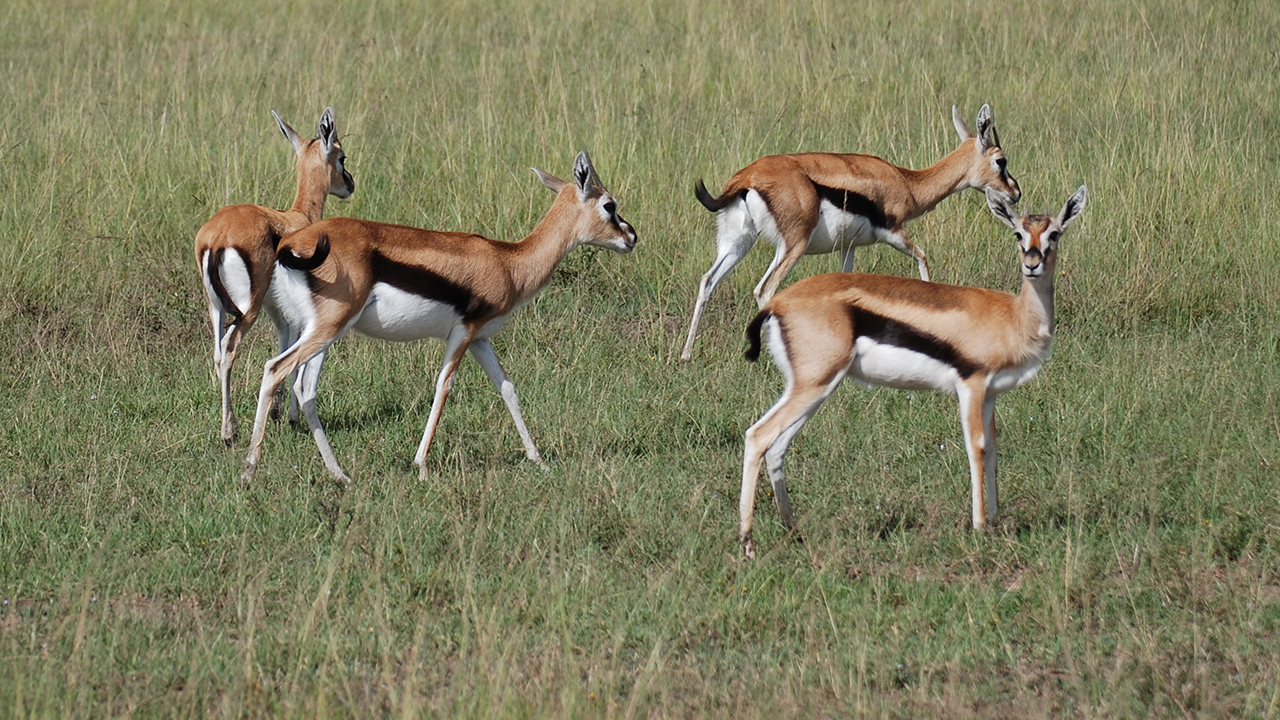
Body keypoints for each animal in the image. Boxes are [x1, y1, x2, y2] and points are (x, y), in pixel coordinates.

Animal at [195, 107, 355, 445]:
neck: (298, 219)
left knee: (217, 353)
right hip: (248, 310)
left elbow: (283, 344)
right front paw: (292, 417)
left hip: (216, 307)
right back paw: (230, 433)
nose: (350, 184)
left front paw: (279, 413)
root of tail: (218, 236)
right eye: (341, 156)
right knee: (229, 350)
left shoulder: (277, 308)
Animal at [238, 151, 636, 484]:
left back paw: (340, 475)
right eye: (609, 205)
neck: (508, 261)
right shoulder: (462, 334)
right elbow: (443, 388)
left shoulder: (480, 339)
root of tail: (292, 245)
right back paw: (249, 470)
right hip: (328, 329)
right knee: (275, 369)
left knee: (304, 389)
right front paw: (421, 466)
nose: (631, 236)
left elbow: (507, 389)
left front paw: (538, 460)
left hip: (322, 332)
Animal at [680, 104, 1021, 362]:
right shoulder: (893, 232)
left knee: (708, 281)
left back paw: (685, 355)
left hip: (737, 243)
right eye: (1000, 161)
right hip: (793, 245)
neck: (907, 183)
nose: (1015, 192)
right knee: (765, 290)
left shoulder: (849, 246)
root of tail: (748, 178)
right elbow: (923, 258)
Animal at [736, 185, 1087, 557]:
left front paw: (994, 521)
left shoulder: (990, 394)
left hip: (814, 389)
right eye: (1018, 233)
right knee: (758, 436)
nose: (1032, 263)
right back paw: (748, 543)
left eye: (1054, 233)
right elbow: (975, 448)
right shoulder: (971, 386)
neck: (1014, 316)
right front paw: (979, 527)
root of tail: (778, 303)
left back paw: (793, 530)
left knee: (777, 446)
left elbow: (992, 448)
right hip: (813, 386)